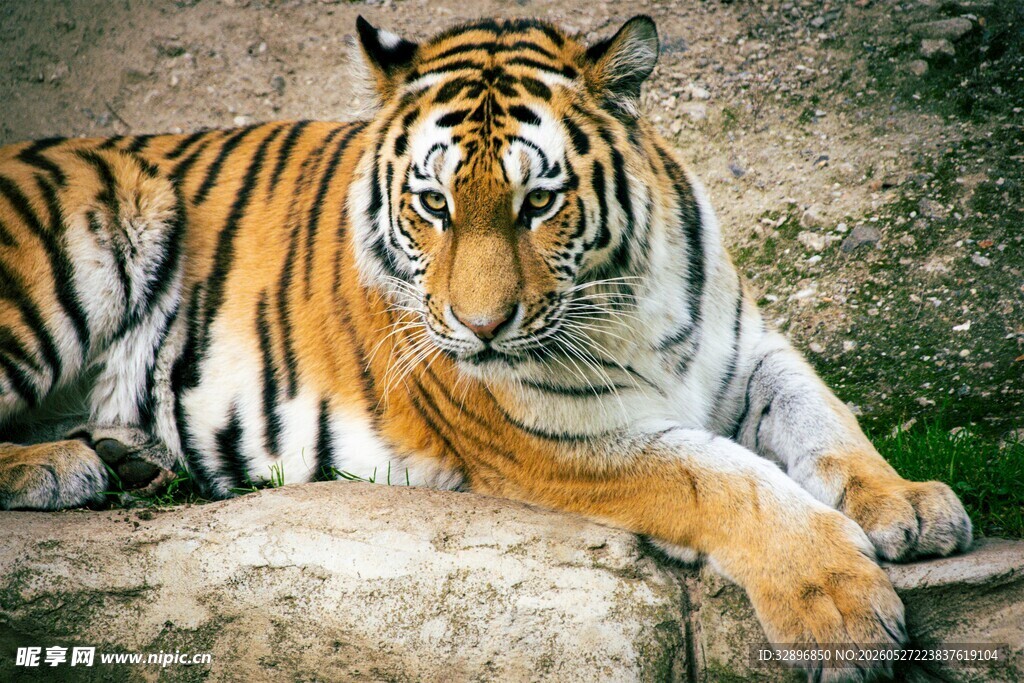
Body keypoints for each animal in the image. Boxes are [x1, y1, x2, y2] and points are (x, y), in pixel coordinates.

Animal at [0, 14, 971, 681]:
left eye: (537, 203)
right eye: (433, 205)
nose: (480, 327)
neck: (628, 296)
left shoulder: (748, 350)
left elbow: (826, 421)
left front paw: (909, 505)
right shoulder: (564, 437)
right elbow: (726, 480)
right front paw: (840, 610)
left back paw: (126, 457)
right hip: (74, 242)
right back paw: (62, 466)